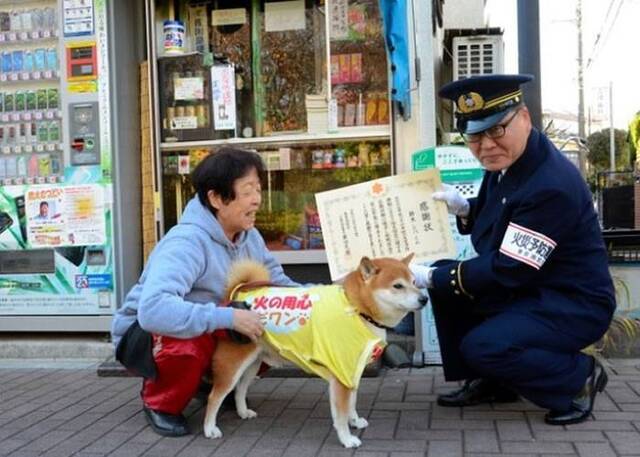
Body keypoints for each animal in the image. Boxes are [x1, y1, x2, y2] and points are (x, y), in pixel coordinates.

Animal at [202, 255, 428, 448]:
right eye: (398, 286)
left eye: (414, 282)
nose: (424, 299)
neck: (355, 309)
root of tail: (238, 293)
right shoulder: (340, 375)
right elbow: (341, 415)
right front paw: (347, 439)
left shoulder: (351, 370)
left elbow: (351, 404)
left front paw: (354, 421)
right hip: (232, 365)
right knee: (215, 396)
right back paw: (210, 429)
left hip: (253, 364)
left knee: (240, 389)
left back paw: (243, 412)